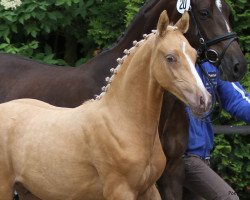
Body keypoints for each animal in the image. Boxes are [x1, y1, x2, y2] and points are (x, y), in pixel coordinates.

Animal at [0, 0, 246, 200]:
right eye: (204, 13)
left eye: (194, 56)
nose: (203, 99)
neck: (122, 120)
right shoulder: (120, 190)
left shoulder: (158, 182)